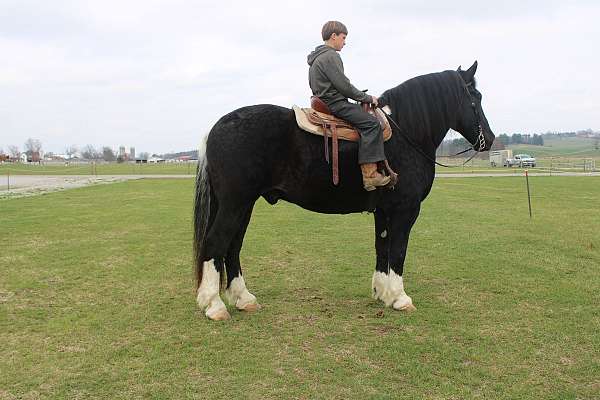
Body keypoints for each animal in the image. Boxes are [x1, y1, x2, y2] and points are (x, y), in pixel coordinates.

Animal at [195, 61, 494, 320]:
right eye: (476, 97)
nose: (489, 139)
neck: (407, 133)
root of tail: (217, 127)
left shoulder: (383, 211)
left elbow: (382, 247)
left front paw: (382, 293)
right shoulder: (405, 209)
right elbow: (398, 250)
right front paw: (400, 297)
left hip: (243, 204)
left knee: (233, 246)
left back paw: (243, 299)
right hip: (235, 203)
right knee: (216, 242)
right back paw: (214, 305)